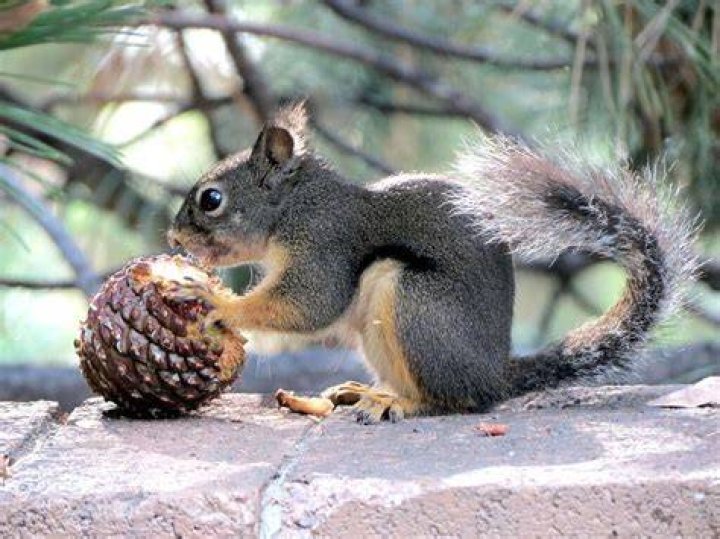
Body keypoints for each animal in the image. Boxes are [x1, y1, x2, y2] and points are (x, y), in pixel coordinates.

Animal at [167, 103, 698, 424]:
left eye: (211, 199)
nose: (173, 237)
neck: (294, 205)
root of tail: (493, 375)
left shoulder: (325, 244)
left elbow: (308, 305)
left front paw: (215, 301)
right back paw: (348, 394)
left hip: (414, 303)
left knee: (450, 400)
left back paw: (393, 402)